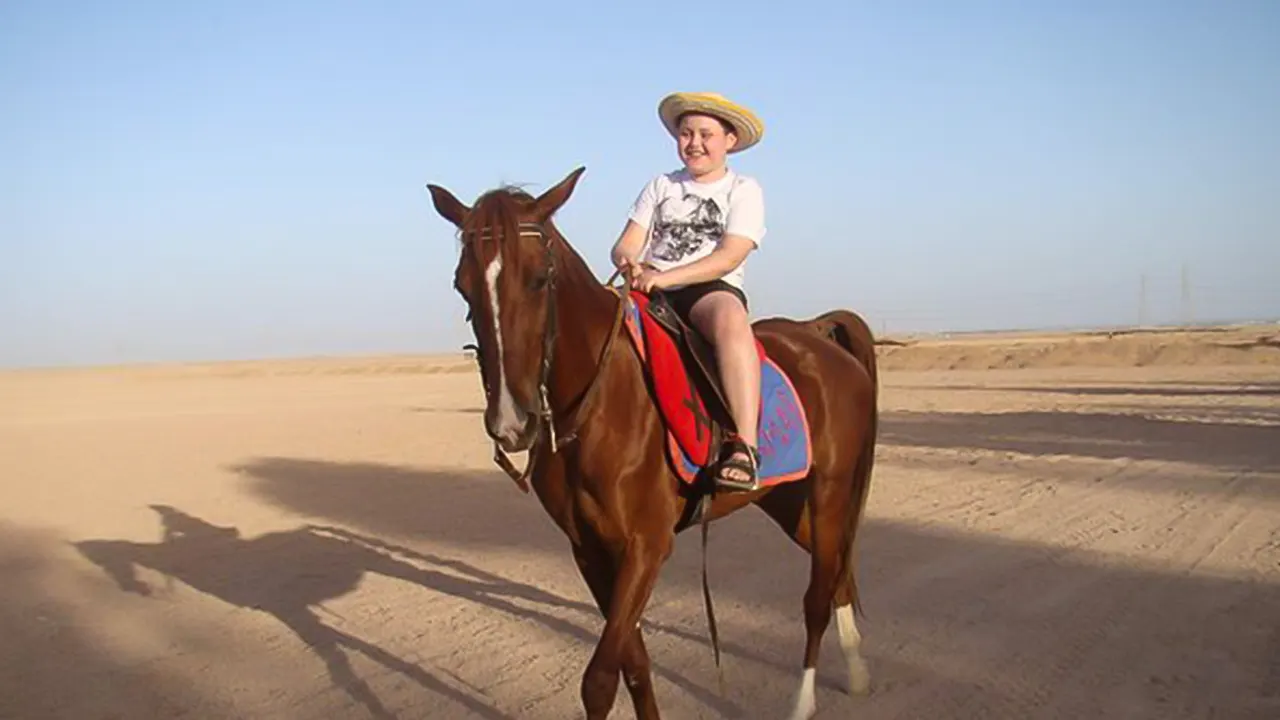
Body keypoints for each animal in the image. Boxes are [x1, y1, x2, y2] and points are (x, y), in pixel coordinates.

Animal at [424, 165, 875, 712]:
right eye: (462, 286)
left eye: (539, 280)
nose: (513, 422)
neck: (600, 402)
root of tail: (816, 333)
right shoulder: (590, 549)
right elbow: (633, 665)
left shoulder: (647, 545)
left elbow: (600, 679)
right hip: (789, 502)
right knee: (838, 572)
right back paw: (857, 672)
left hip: (828, 492)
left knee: (817, 595)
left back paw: (803, 702)